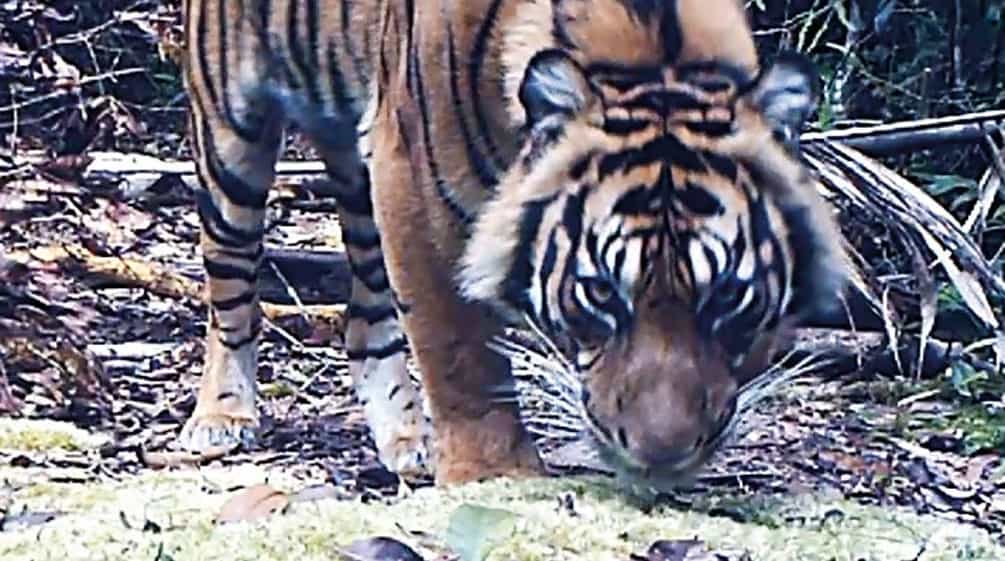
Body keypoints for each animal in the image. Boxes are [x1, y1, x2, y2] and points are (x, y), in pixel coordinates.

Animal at [178, 0, 848, 490]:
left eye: (728, 297)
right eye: (600, 292)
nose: (662, 456)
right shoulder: (408, 172)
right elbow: (458, 348)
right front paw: (494, 473)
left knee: (366, 316)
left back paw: (407, 437)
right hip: (233, 138)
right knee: (232, 290)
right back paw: (221, 417)